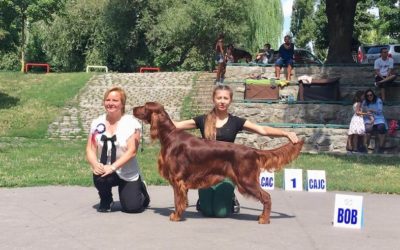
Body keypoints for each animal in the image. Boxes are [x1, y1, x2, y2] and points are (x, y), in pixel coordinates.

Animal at [134, 102, 304, 224]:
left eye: (145, 106)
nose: (134, 108)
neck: (169, 136)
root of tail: (252, 150)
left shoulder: (177, 179)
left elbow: (178, 201)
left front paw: (176, 216)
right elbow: (181, 201)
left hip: (246, 180)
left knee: (267, 197)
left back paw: (264, 219)